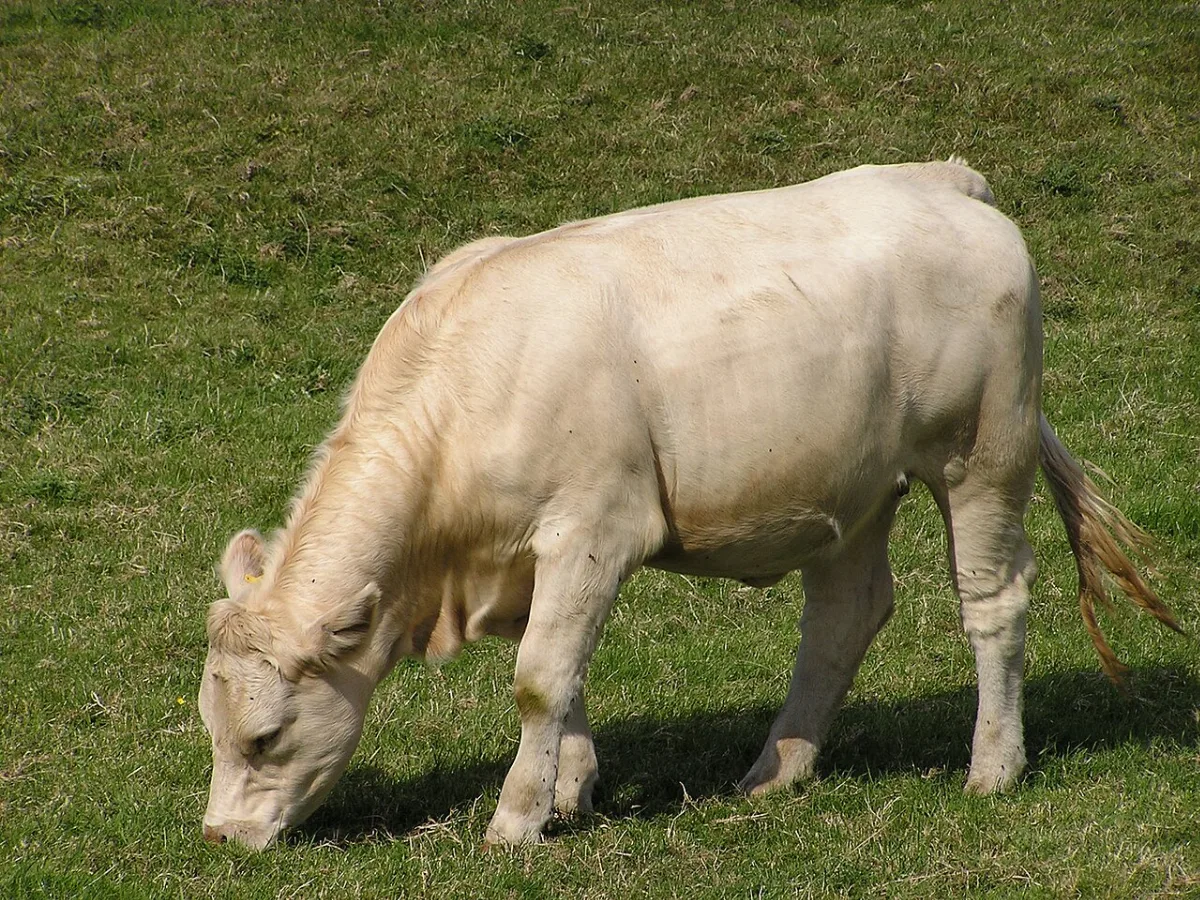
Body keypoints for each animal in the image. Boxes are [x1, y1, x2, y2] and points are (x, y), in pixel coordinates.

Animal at [198, 159, 1180, 849]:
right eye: (211, 729)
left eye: (266, 737)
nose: (220, 838)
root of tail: (944, 178)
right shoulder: (534, 559)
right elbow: (562, 674)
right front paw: (569, 790)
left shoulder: (594, 528)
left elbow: (538, 676)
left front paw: (516, 819)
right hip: (855, 489)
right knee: (846, 613)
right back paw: (779, 768)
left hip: (982, 454)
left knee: (993, 601)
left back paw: (993, 766)